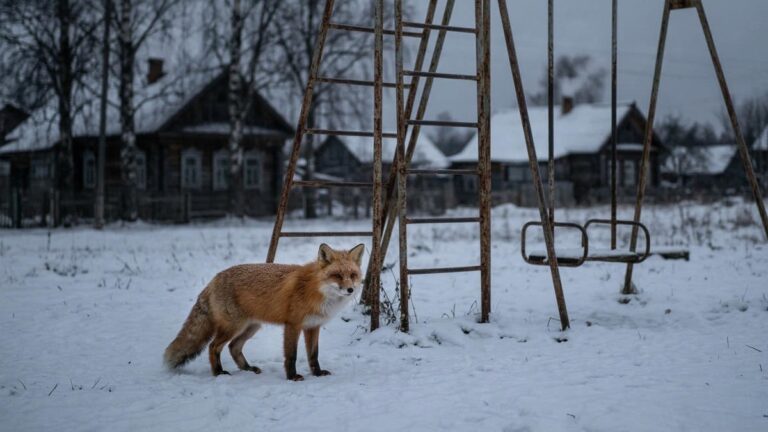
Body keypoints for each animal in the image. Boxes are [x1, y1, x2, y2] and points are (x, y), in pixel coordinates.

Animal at [163, 243, 365, 381]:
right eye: (337, 275)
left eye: (353, 275)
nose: (350, 290)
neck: (316, 291)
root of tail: (215, 278)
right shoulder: (293, 325)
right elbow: (291, 355)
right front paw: (292, 377)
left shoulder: (313, 327)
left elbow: (313, 355)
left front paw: (317, 373)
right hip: (233, 327)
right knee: (214, 346)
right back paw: (218, 372)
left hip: (251, 327)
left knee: (233, 347)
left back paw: (248, 368)